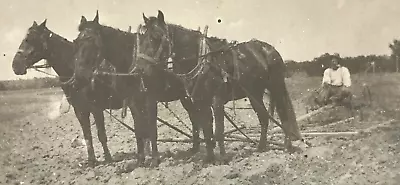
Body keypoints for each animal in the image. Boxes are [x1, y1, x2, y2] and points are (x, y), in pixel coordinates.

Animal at [11, 19, 126, 166]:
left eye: (30, 39)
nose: (15, 65)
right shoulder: (80, 110)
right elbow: (87, 136)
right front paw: (91, 161)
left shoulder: (96, 108)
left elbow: (101, 135)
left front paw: (108, 159)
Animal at [132, 10, 304, 159]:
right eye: (141, 38)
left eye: (156, 37)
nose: (140, 69)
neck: (202, 60)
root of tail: (269, 49)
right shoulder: (200, 101)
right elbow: (207, 129)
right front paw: (209, 157)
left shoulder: (217, 99)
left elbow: (219, 130)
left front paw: (222, 158)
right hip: (254, 93)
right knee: (264, 117)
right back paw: (261, 147)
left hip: (275, 86)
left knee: (283, 115)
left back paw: (286, 146)